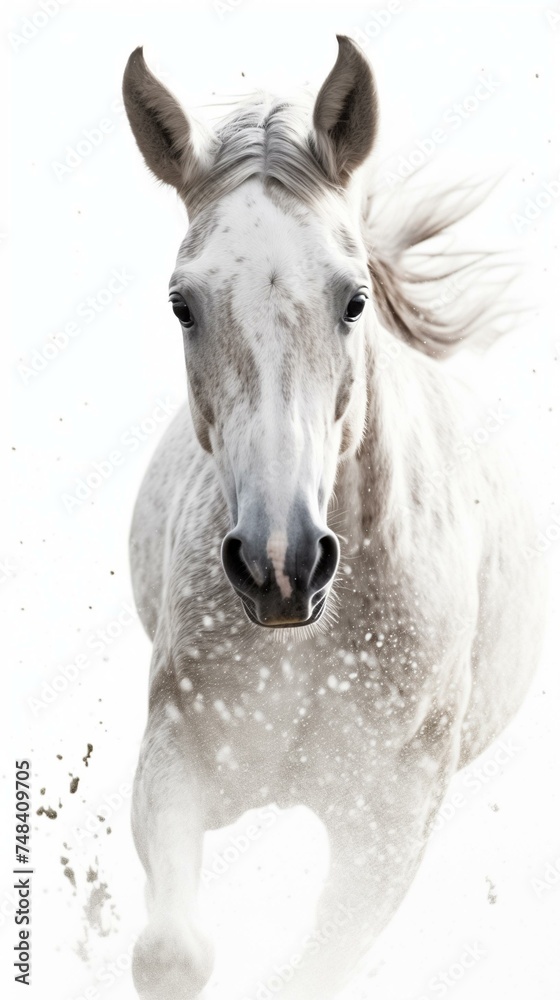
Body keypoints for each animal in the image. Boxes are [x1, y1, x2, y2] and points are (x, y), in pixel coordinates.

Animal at [122, 35, 545, 1000]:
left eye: (352, 300)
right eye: (182, 303)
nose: (280, 565)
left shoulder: (388, 831)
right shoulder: (176, 756)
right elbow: (172, 954)